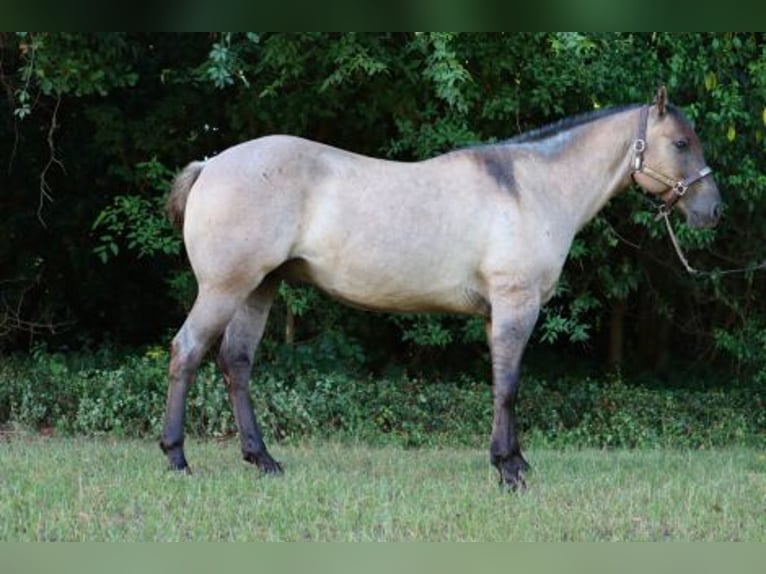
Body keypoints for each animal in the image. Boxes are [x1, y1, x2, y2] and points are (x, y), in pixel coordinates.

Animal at [160, 86, 721, 488]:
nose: (713, 210)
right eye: (680, 143)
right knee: (187, 351)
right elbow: (509, 386)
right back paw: (177, 458)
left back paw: (263, 460)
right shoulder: (516, 306)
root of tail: (211, 163)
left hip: (259, 288)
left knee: (236, 364)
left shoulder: (497, 314)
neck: (531, 188)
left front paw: (512, 461)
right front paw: (510, 472)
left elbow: (501, 385)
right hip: (225, 288)